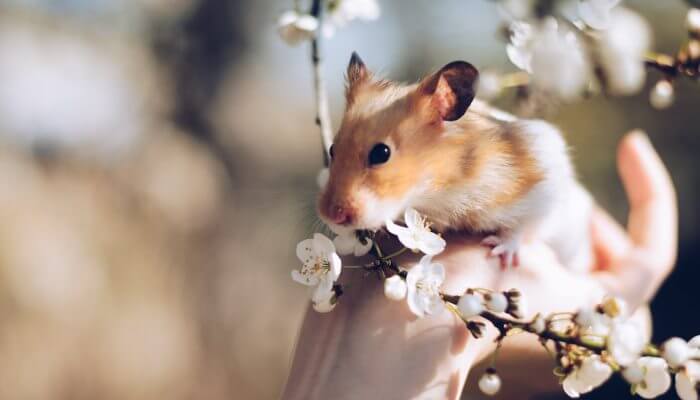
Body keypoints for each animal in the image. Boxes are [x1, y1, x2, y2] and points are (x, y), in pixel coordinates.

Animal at [320, 53, 592, 270]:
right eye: (332, 149)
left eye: (381, 153)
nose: (330, 216)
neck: (439, 189)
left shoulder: (544, 181)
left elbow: (524, 226)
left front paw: (499, 251)